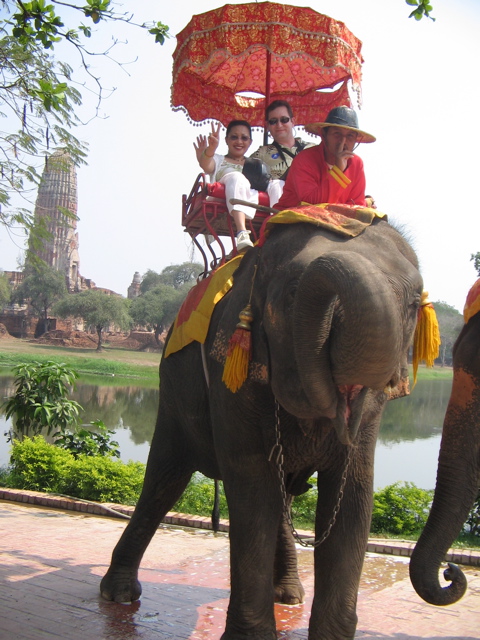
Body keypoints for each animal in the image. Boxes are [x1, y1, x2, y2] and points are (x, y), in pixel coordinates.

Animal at [101, 215, 424, 640]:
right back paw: (119, 595)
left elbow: (352, 498)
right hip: (171, 389)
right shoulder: (230, 377)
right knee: (165, 479)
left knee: (277, 497)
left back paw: (288, 595)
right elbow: (254, 489)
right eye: (292, 294)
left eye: (415, 304)